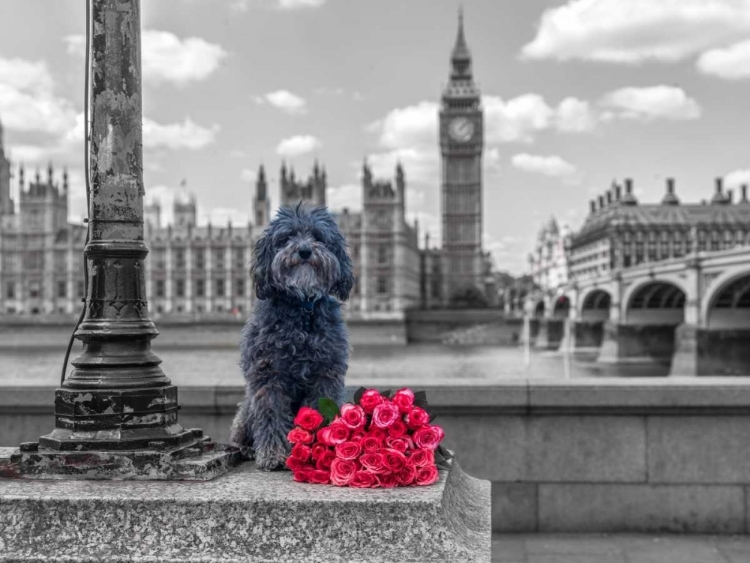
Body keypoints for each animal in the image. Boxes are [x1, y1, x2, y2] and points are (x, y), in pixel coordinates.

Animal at [231, 205, 354, 470]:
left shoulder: (326, 375)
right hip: (246, 410)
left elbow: (320, 412)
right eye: (287, 237)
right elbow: (271, 415)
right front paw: (274, 455)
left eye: (318, 236)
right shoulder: (268, 375)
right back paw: (247, 448)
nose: (305, 251)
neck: (302, 308)